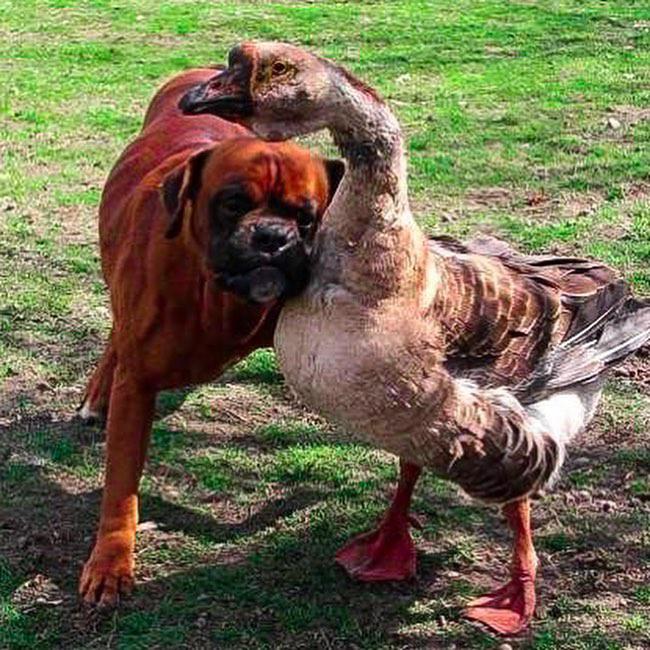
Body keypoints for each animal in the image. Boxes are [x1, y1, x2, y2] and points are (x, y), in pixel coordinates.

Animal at [78, 68, 343, 606]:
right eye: (233, 203)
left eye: (305, 217)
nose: (271, 237)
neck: (217, 299)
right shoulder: (137, 388)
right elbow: (120, 484)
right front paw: (110, 563)